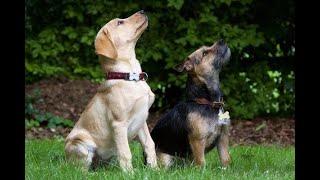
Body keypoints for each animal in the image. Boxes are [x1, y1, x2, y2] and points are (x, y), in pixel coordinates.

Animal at [150, 39, 230, 167]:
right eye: (204, 54)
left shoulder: (223, 137)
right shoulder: (198, 141)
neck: (207, 103)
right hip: (165, 158)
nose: (222, 40)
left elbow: (226, 159)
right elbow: (201, 162)